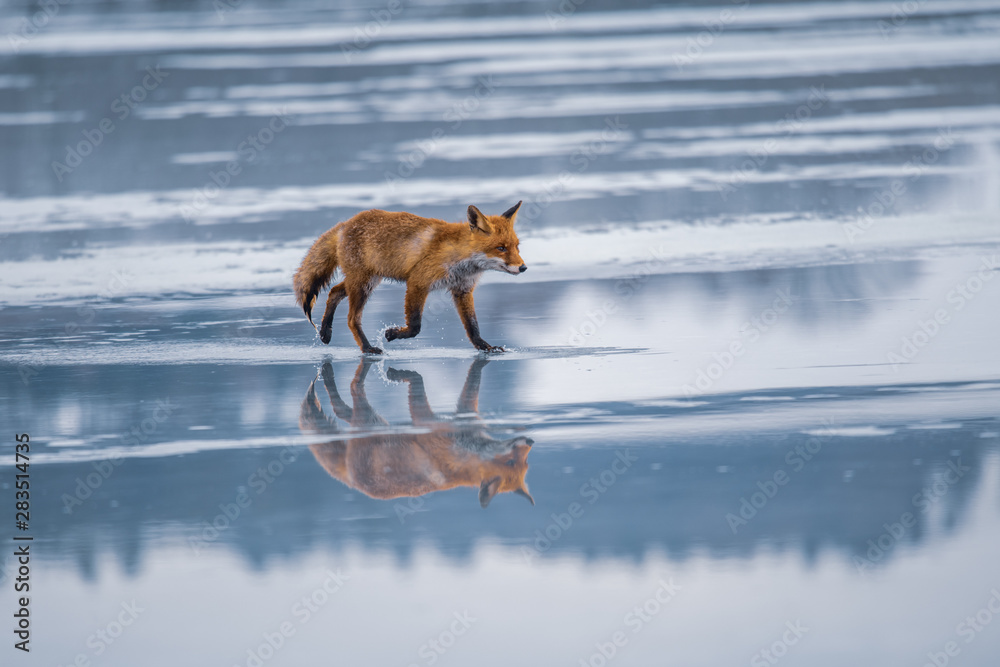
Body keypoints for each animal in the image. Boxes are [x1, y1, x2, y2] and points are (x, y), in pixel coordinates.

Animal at [293, 201, 527, 354]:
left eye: (516, 246)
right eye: (500, 248)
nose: (523, 267)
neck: (459, 257)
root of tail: (344, 224)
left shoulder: (462, 289)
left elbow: (472, 326)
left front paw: (484, 347)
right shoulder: (418, 282)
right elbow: (415, 326)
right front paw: (392, 334)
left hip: (366, 280)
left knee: (333, 292)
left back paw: (326, 332)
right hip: (362, 285)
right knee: (352, 319)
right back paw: (367, 348)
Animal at [299, 358, 534, 508]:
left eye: (525, 463)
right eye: (511, 461)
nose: (530, 441)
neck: (465, 453)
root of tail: (352, 482)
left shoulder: (462, 413)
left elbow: (471, 382)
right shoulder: (425, 419)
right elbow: (418, 380)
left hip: (371, 421)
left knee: (343, 408)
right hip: (368, 419)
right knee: (353, 388)